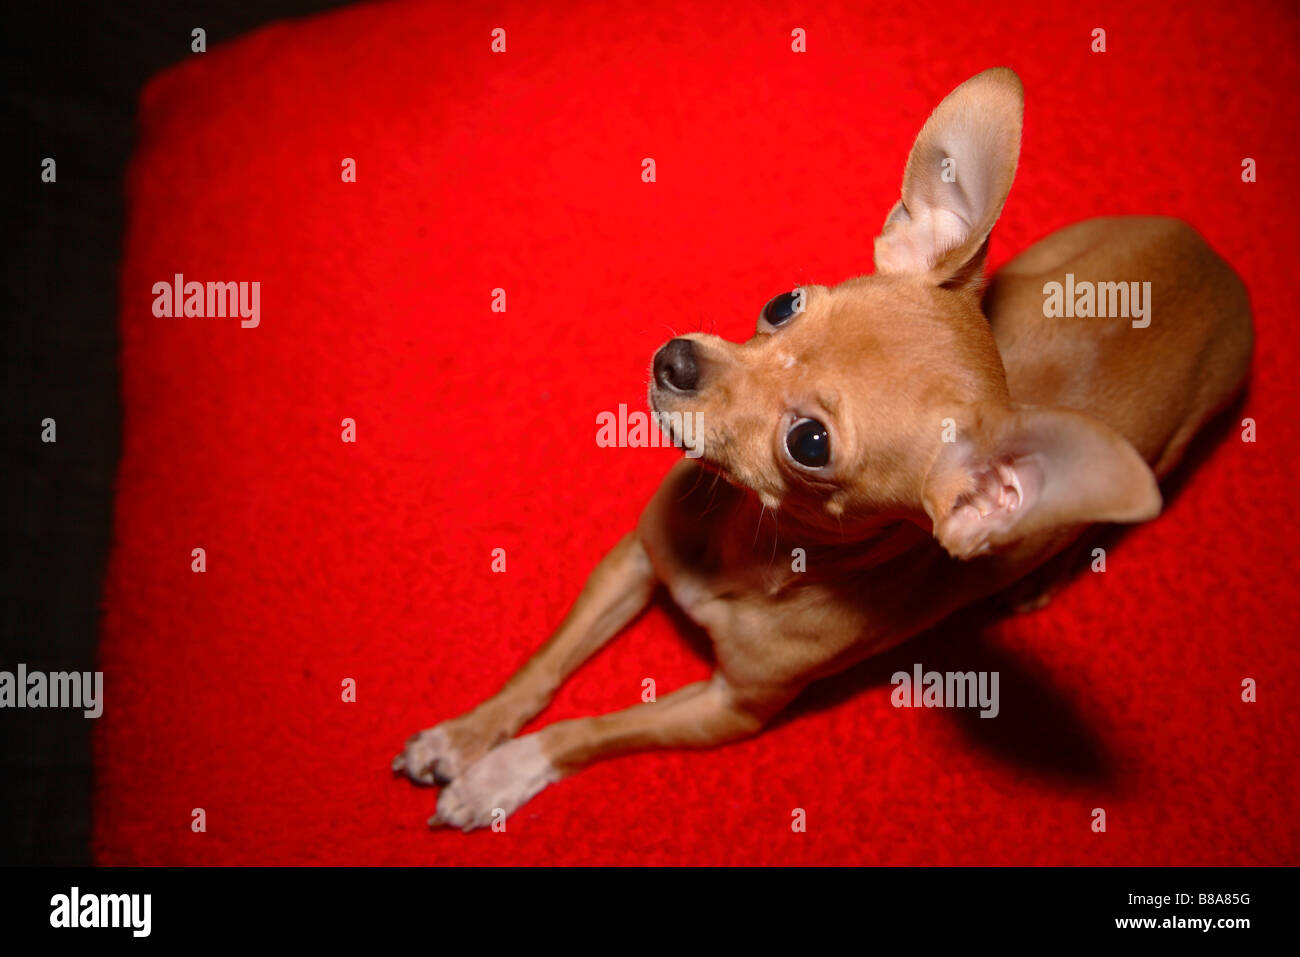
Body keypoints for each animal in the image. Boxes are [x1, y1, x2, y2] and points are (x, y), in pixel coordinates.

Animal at [392, 67, 1248, 832]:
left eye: (809, 443)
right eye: (784, 304)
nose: (675, 361)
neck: (746, 544)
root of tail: (1224, 270)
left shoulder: (727, 711)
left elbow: (590, 731)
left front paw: (499, 773)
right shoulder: (633, 559)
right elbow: (542, 668)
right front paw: (466, 736)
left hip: (1168, 457)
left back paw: (1044, 575)